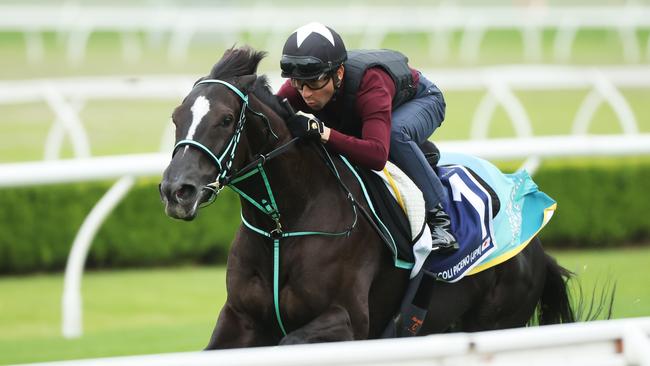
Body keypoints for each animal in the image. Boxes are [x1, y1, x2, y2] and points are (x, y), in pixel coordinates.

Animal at [159, 46, 576, 348]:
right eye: (177, 117)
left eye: (226, 119)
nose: (176, 190)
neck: (283, 224)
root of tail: (536, 245)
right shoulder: (239, 318)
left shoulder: (348, 321)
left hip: (497, 322)